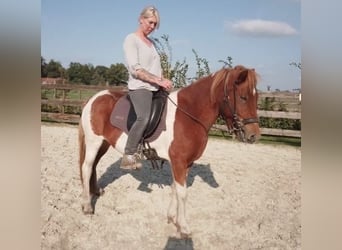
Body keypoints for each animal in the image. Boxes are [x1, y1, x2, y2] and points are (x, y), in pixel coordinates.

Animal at [78, 64, 260, 236]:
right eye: (243, 97)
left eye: (256, 97)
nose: (254, 135)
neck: (189, 114)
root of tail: (92, 99)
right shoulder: (179, 161)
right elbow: (182, 193)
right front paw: (184, 227)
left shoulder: (186, 163)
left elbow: (175, 189)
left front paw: (172, 218)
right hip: (94, 142)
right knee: (87, 168)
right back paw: (87, 206)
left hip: (104, 143)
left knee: (94, 166)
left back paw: (96, 192)